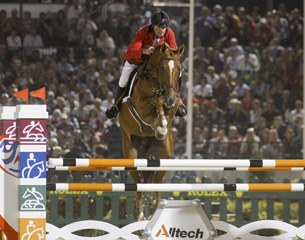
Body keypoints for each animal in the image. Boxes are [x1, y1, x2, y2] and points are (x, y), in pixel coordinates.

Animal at [117, 41, 184, 219]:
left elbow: (167, 111)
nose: (170, 98)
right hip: (131, 155)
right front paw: (158, 126)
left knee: (157, 183)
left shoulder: (174, 102)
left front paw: (161, 129)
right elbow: (155, 101)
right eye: (162, 68)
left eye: (179, 68)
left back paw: (156, 208)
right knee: (139, 184)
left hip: (164, 158)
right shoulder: (141, 104)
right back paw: (140, 214)